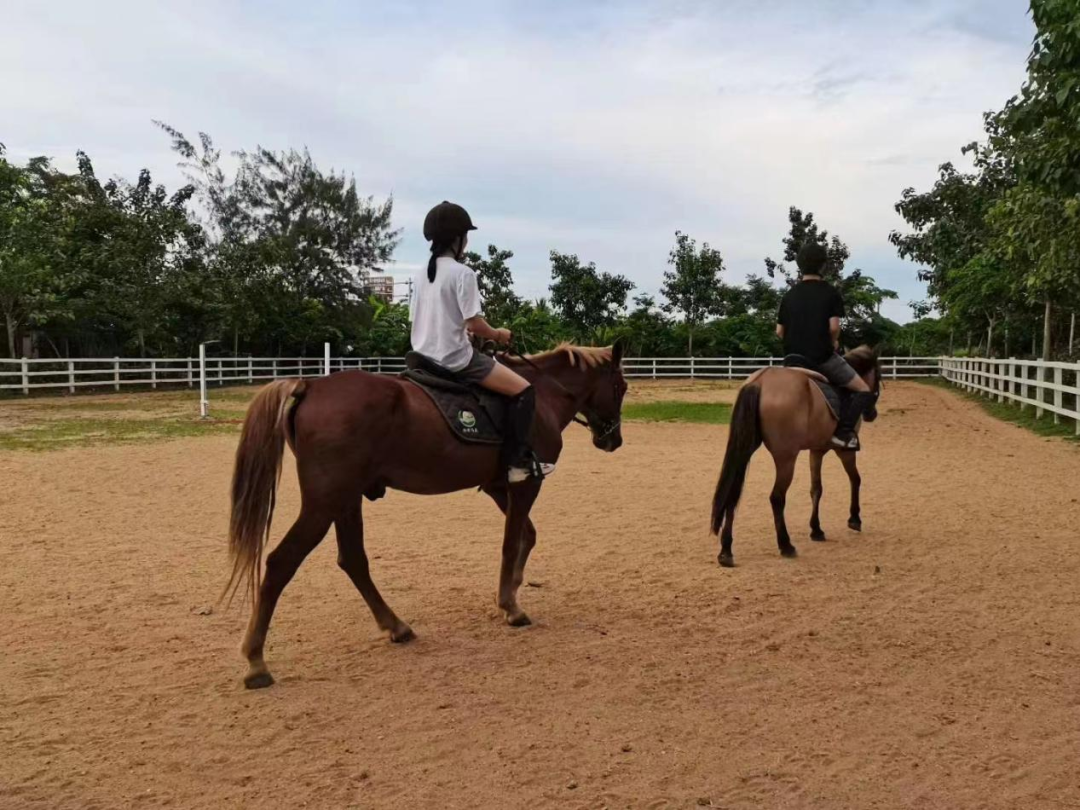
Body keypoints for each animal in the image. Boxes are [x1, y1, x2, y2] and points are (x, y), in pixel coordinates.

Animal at [231, 343, 630, 691]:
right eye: (621, 387)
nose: (613, 441)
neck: (544, 394)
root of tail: (311, 386)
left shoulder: (500, 487)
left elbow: (526, 536)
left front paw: (514, 586)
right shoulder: (525, 484)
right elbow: (510, 541)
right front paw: (511, 607)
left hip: (345, 501)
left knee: (353, 561)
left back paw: (396, 626)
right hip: (324, 503)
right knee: (281, 562)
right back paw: (255, 662)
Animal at [712, 345, 881, 565]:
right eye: (879, 375)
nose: (872, 414)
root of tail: (761, 381)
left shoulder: (816, 450)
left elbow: (816, 489)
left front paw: (816, 529)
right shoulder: (844, 451)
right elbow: (855, 479)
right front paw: (854, 519)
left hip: (744, 449)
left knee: (733, 493)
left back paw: (726, 551)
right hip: (786, 458)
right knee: (777, 498)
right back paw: (786, 545)